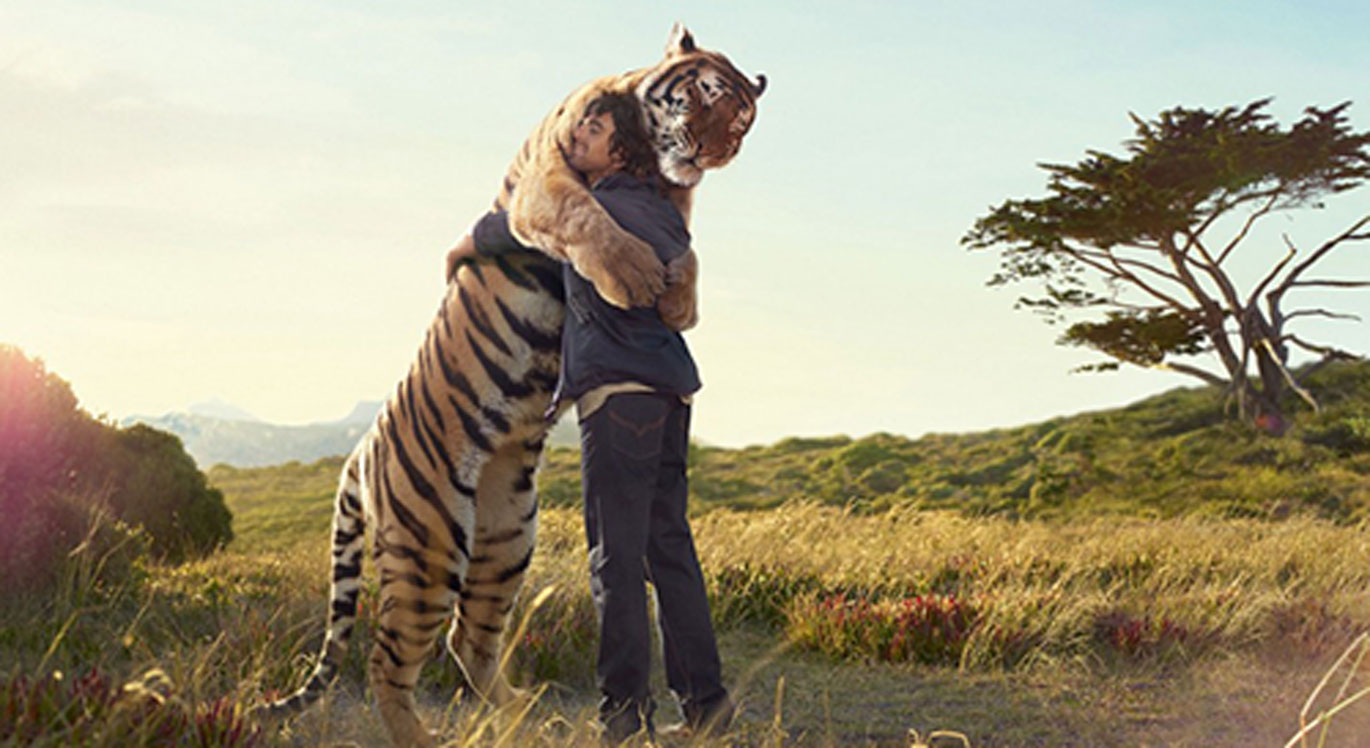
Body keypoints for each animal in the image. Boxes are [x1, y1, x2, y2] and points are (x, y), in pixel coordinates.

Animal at [254, 23, 765, 748]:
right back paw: (427, 737)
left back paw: (529, 714)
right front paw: (636, 277)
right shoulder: (545, 183)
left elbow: (686, 249)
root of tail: (359, 452)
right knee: (389, 660)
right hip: (432, 547)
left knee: (466, 641)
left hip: (505, 539)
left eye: (744, 121)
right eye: (708, 96)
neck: (646, 161)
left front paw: (677, 301)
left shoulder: (676, 207)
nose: (715, 150)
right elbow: (586, 216)